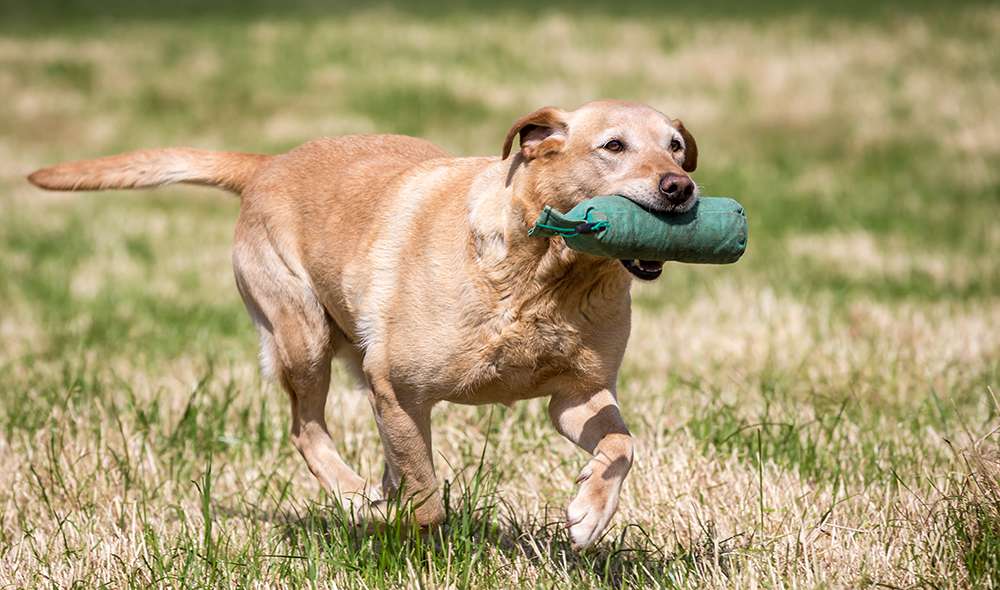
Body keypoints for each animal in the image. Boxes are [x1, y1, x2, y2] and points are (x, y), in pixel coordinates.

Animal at [33, 98, 704, 552]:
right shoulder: (399, 386)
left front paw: (590, 510)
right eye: (613, 146)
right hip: (302, 336)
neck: (546, 274)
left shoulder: (577, 395)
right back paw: (356, 498)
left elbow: (622, 445)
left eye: (675, 145)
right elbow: (427, 499)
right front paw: (412, 536)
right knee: (306, 430)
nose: (682, 188)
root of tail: (268, 164)